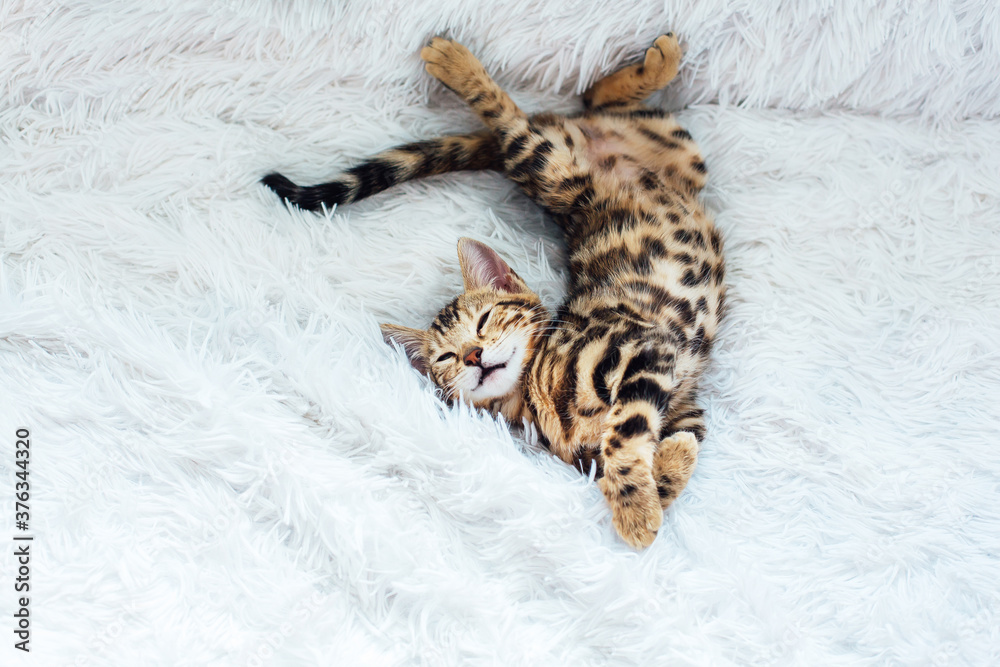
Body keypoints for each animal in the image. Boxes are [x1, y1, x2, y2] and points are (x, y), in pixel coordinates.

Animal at [262, 34, 724, 552]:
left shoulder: (644, 350)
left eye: (483, 322)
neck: (537, 396)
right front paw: (654, 485)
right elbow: (642, 443)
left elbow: (631, 434)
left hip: (577, 162)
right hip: (664, 148)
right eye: (444, 358)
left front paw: (641, 501)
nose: (473, 356)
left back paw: (458, 60)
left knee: (528, 119)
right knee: (577, 106)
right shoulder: (658, 391)